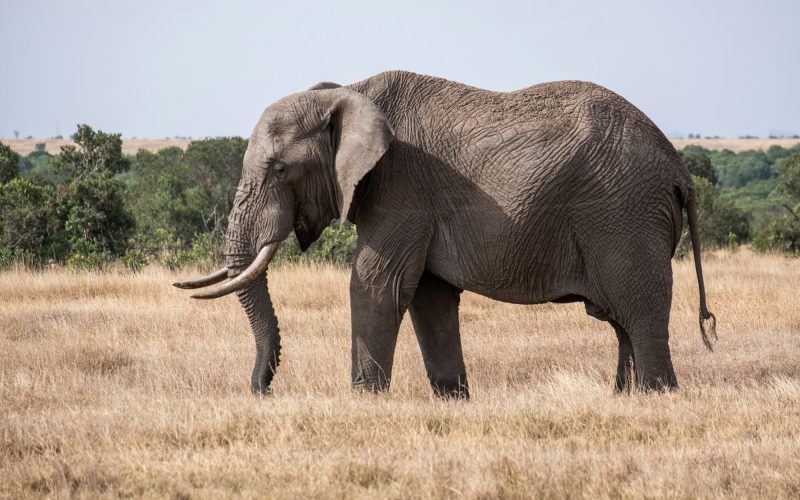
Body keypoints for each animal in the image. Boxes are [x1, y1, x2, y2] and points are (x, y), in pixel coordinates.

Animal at [175, 70, 716, 398]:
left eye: (280, 168)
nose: (262, 391)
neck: (349, 90)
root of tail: (679, 168)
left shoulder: (400, 186)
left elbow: (376, 283)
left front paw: (364, 400)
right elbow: (429, 298)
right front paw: (453, 399)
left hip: (625, 213)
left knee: (640, 313)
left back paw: (658, 397)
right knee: (620, 320)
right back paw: (624, 398)